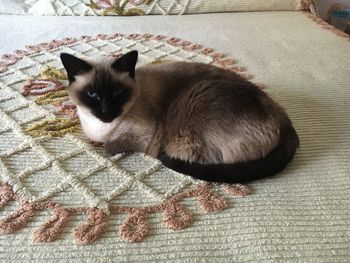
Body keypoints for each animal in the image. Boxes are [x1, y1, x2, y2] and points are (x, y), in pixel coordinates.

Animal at [59, 51, 298, 184]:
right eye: (92, 95)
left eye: (117, 93)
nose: (107, 111)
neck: (101, 128)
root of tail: (286, 121)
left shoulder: (140, 137)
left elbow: (109, 147)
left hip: (188, 122)